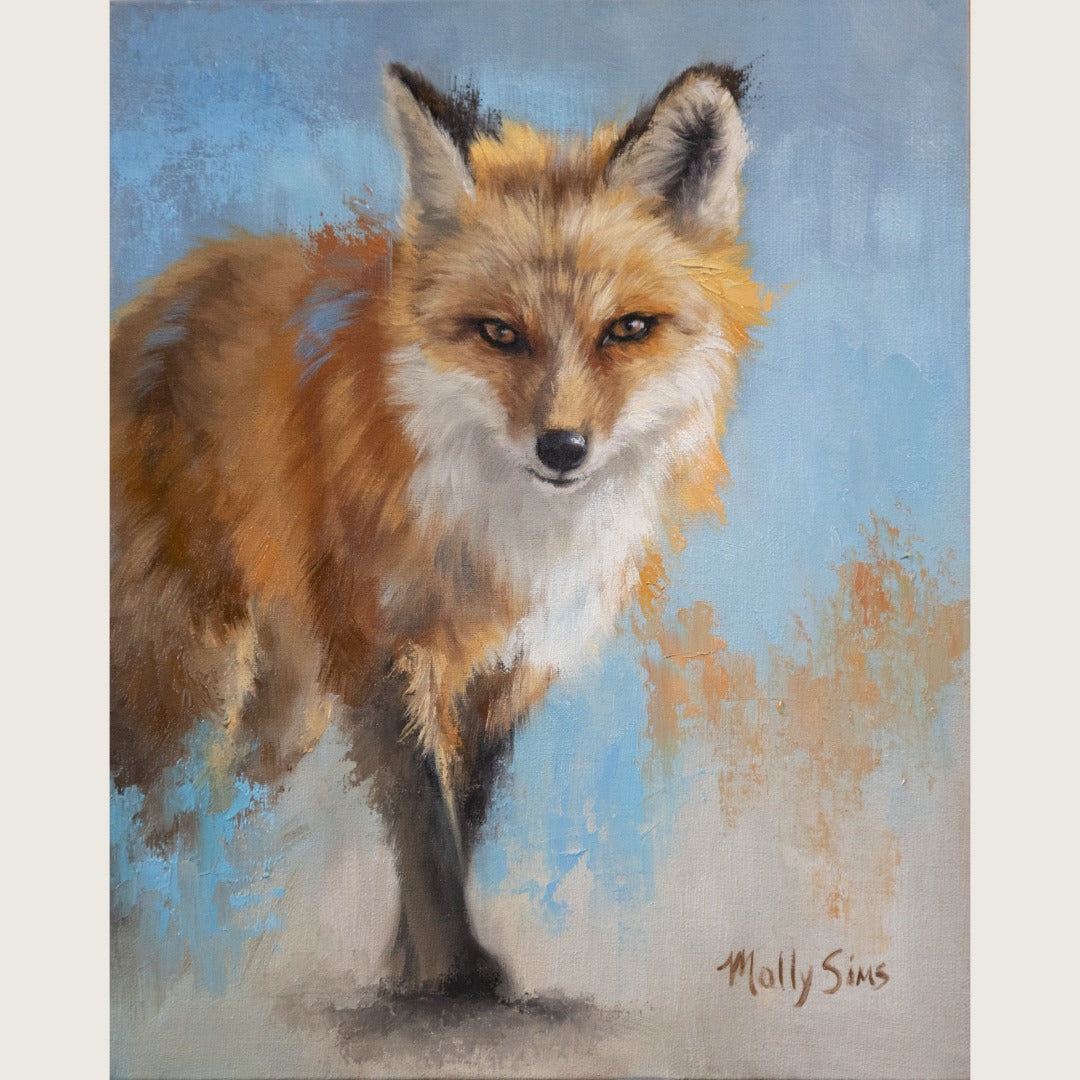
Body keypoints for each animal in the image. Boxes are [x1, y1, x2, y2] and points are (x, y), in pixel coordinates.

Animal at [111, 62, 767, 998]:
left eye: (628, 330)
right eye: (500, 333)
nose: (562, 448)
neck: (505, 541)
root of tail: (159, 293)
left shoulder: (504, 667)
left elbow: (465, 816)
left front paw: (409, 969)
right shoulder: (386, 649)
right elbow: (425, 825)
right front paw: (456, 974)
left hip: (286, 708)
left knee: (220, 804)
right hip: (195, 672)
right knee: (152, 812)